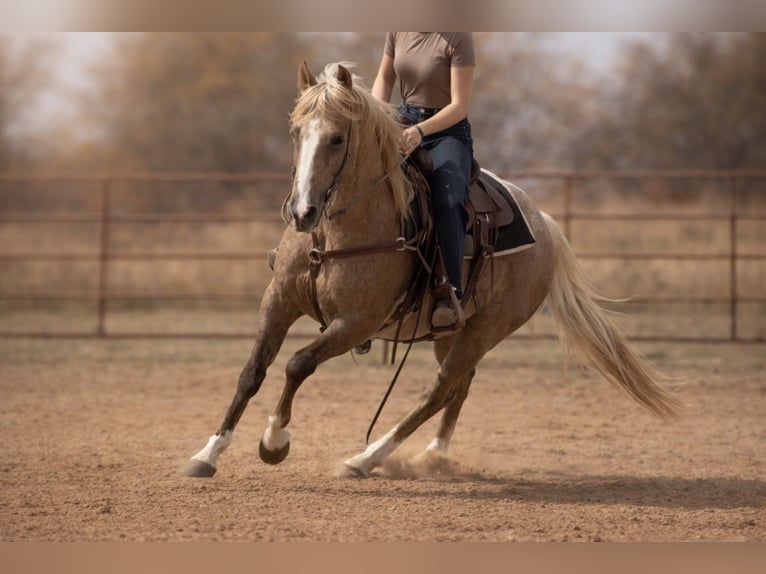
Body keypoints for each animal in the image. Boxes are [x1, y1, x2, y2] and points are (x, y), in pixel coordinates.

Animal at [184, 61, 681, 479]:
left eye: (338, 138)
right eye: (295, 133)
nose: (302, 212)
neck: (333, 235)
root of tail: (544, 224)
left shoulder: (355, 321)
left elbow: (297, 363)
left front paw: (274, 441)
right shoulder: (279, 300)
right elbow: (253, 370)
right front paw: (208, 453)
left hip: (487, 328)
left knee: (439, 390)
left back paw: (366, 459)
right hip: (454, 331)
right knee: (460, 385)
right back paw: (432, 455)